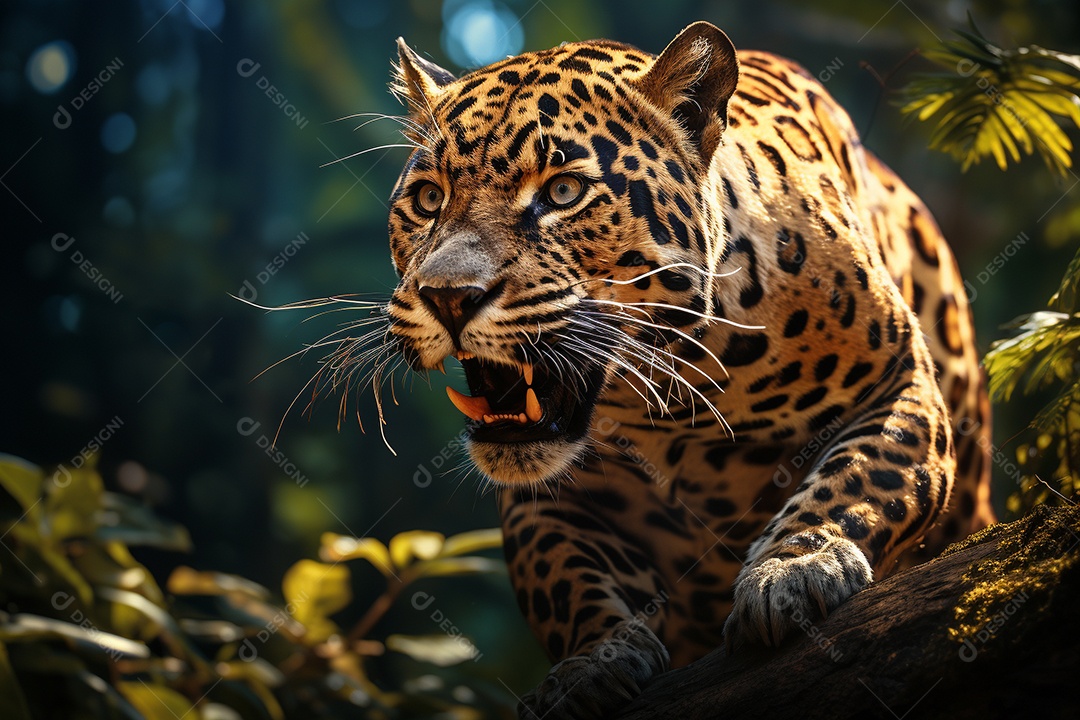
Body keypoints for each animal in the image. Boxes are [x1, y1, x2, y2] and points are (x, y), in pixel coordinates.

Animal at [379, 21, 995, 719]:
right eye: (428, 198)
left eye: (563, 192)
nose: (448, 296)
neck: (672, 403)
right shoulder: (546, 499)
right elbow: (561, 576)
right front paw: (591, 665)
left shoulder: (898, 379)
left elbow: (863, 475)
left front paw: (793, 571)